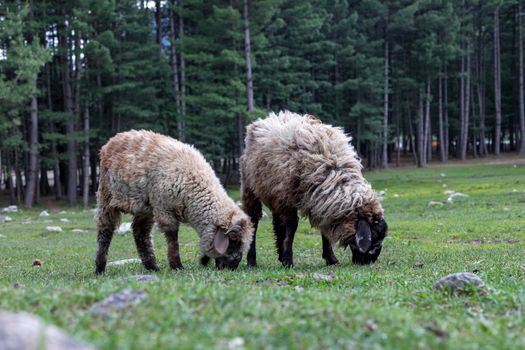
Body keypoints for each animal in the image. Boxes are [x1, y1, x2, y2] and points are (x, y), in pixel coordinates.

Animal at [94, 130, 254, 274]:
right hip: (106, 195)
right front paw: (177, 266)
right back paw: (100, 268)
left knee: (140, 231)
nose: (233, 267)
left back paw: (152, 267)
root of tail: (113, 140)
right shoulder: (163, 207)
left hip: (145, 206)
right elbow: (173, 238)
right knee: (105, 230)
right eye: (233, 241)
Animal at [239, 110, 386, 266]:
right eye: (375, 238)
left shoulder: (322, 203)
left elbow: (324, 231)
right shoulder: (288, 198)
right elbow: (292, 227)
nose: (369, 261)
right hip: (251, 188)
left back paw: (280, 255)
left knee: (278, 223)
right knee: (254, 221)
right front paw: (289, 260)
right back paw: (252, 261)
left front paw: (331, 259)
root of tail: (265, 119)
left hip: (274, 194)